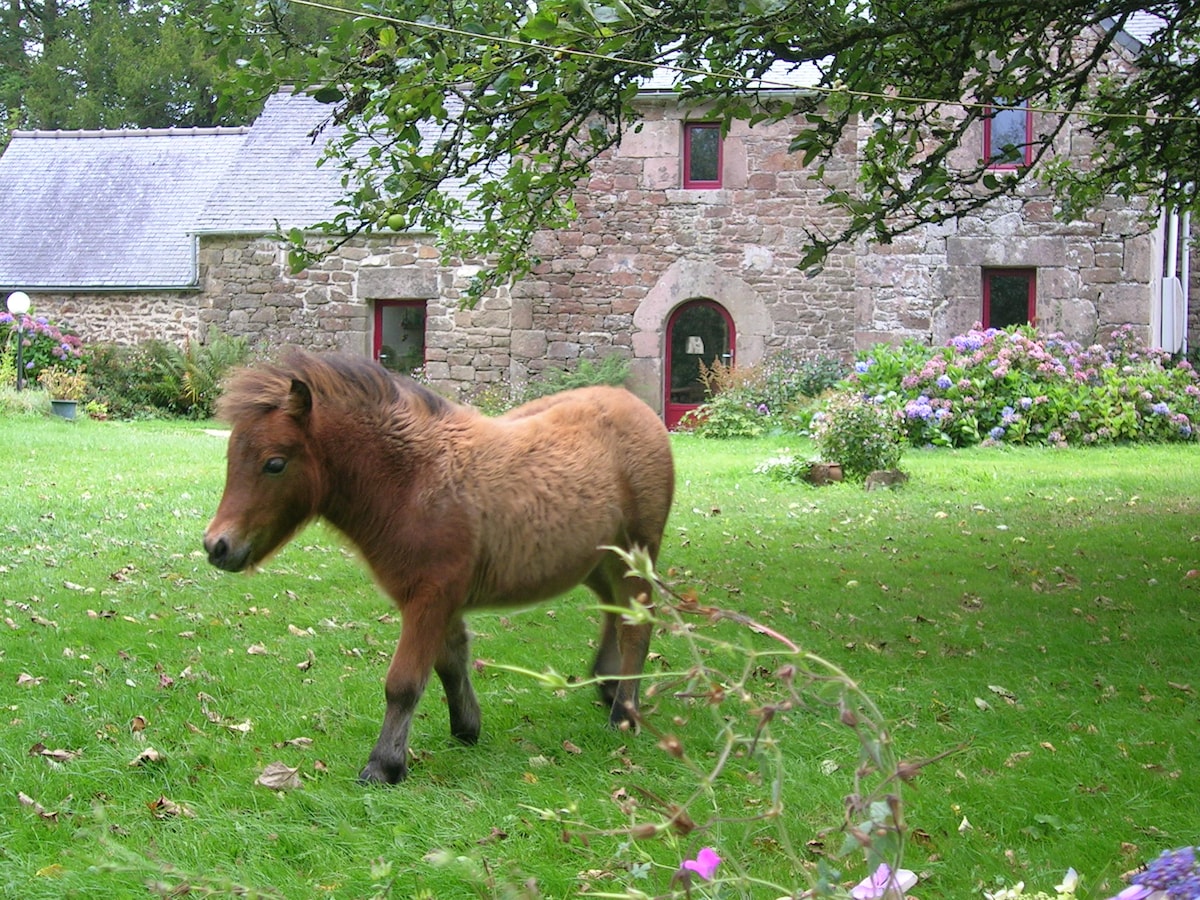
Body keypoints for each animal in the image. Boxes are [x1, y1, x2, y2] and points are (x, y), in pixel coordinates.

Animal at [206, 348, 676, 787]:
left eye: (274, 463)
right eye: (229, 458)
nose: (216, 546)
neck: (416, 481)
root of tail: (638, 406)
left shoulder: (430, 595)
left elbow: (404, 682)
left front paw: (384, 765)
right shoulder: (439, 598)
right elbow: (450, 660)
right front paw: (466, 727)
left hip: (636, 551)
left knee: (637, 625)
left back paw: (623, 713)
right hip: (596, 560)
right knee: (616, 611)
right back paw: (608, 684)